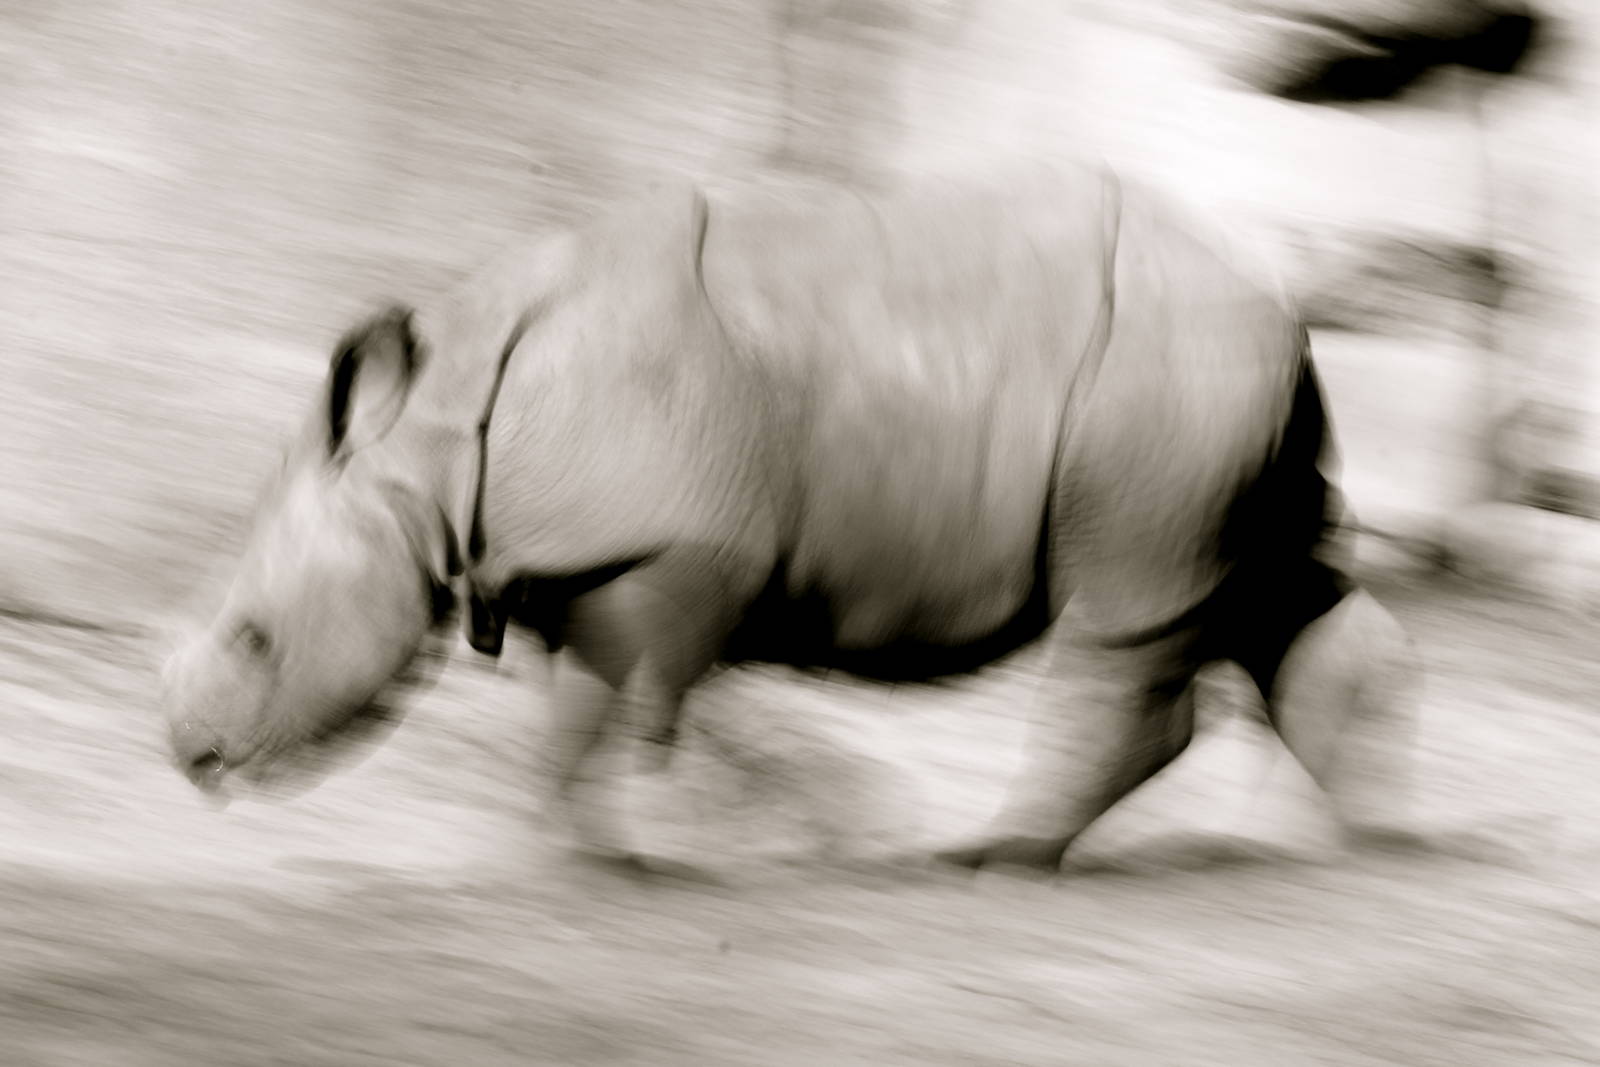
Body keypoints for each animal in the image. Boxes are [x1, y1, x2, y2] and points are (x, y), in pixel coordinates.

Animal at [159, 160, 1420, 875]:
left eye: (254, 639)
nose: (188, 757)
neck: (428, 438)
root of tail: (1283, 300)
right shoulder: (573, 558)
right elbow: (577, 710)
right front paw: (570, 851)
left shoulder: (665, 549)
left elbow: (624, 708)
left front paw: (621, 857)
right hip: (1222, 385)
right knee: (1272, 585)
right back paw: (1364, 842)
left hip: (1167, 372)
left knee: (1127, 606)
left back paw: (993, 857)